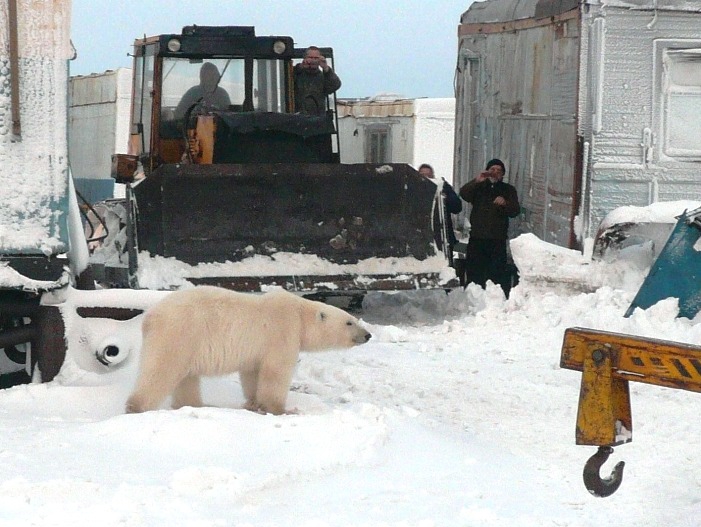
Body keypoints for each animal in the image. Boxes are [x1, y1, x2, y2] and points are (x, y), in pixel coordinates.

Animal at [124, 288, 372, 416]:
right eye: (349, 322)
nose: (368, 335)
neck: (299, 313)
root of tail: (149, 317)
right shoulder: (282, 331)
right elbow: (276, 372)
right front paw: (284, 409)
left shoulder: (257, 350)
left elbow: (253, 373)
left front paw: (254, 404)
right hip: (179, 333)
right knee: (161, 370)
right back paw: (136, 407)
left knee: (187, 377)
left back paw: (199, 405)